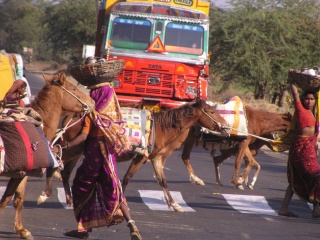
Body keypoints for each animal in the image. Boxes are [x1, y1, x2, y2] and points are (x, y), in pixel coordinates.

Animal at [0, 71, 95, 240]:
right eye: (73, 88)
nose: (92, 102)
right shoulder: (24, 173)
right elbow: (16, 198)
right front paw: (23, 230)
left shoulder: (18, 173)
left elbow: (9, 198)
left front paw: (21, 229)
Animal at [40, 97, 229, 212]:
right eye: (212, 112)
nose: (226, 127)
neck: (160, 127)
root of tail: (72, 117)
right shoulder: (140, 157)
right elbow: (126, 179)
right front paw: (120, 204)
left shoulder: (155, 159)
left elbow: (163, 181)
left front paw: (174, 205)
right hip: (73, 149)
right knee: (55, 164)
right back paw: (45, 194)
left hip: (76, 151)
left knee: (65, 172)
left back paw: (71, 201)